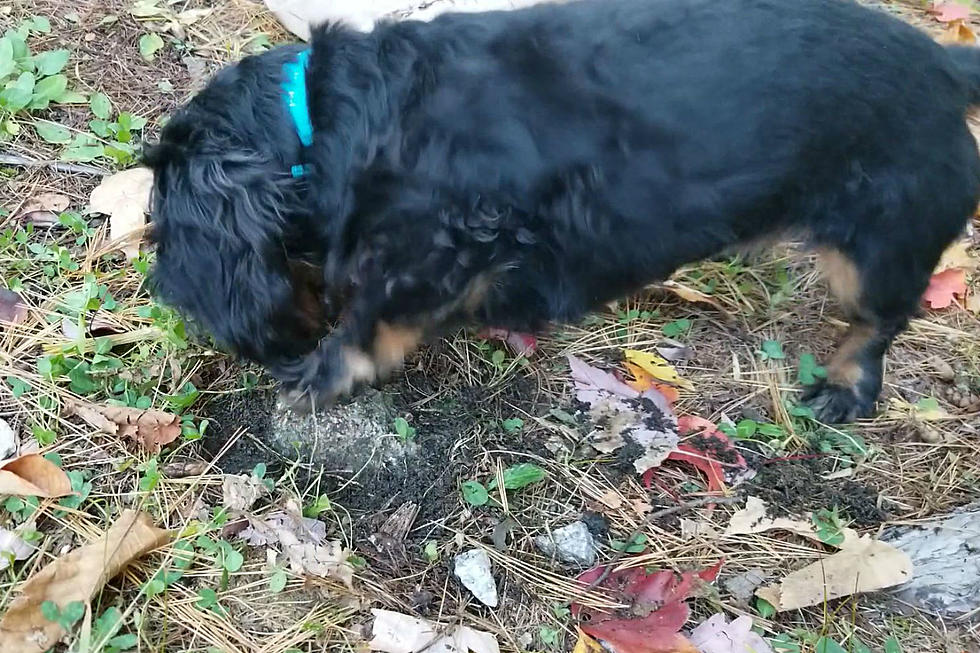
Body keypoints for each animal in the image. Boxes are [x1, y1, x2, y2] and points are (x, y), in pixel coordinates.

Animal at [144, 0, 980, 420]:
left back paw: (845, 384)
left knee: (880, 318)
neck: (328, 112)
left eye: (167, 217)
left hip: (880, 238)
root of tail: (945, 63)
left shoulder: (443, 237)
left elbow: (373, 317)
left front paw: (323, 370)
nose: (165, 294)